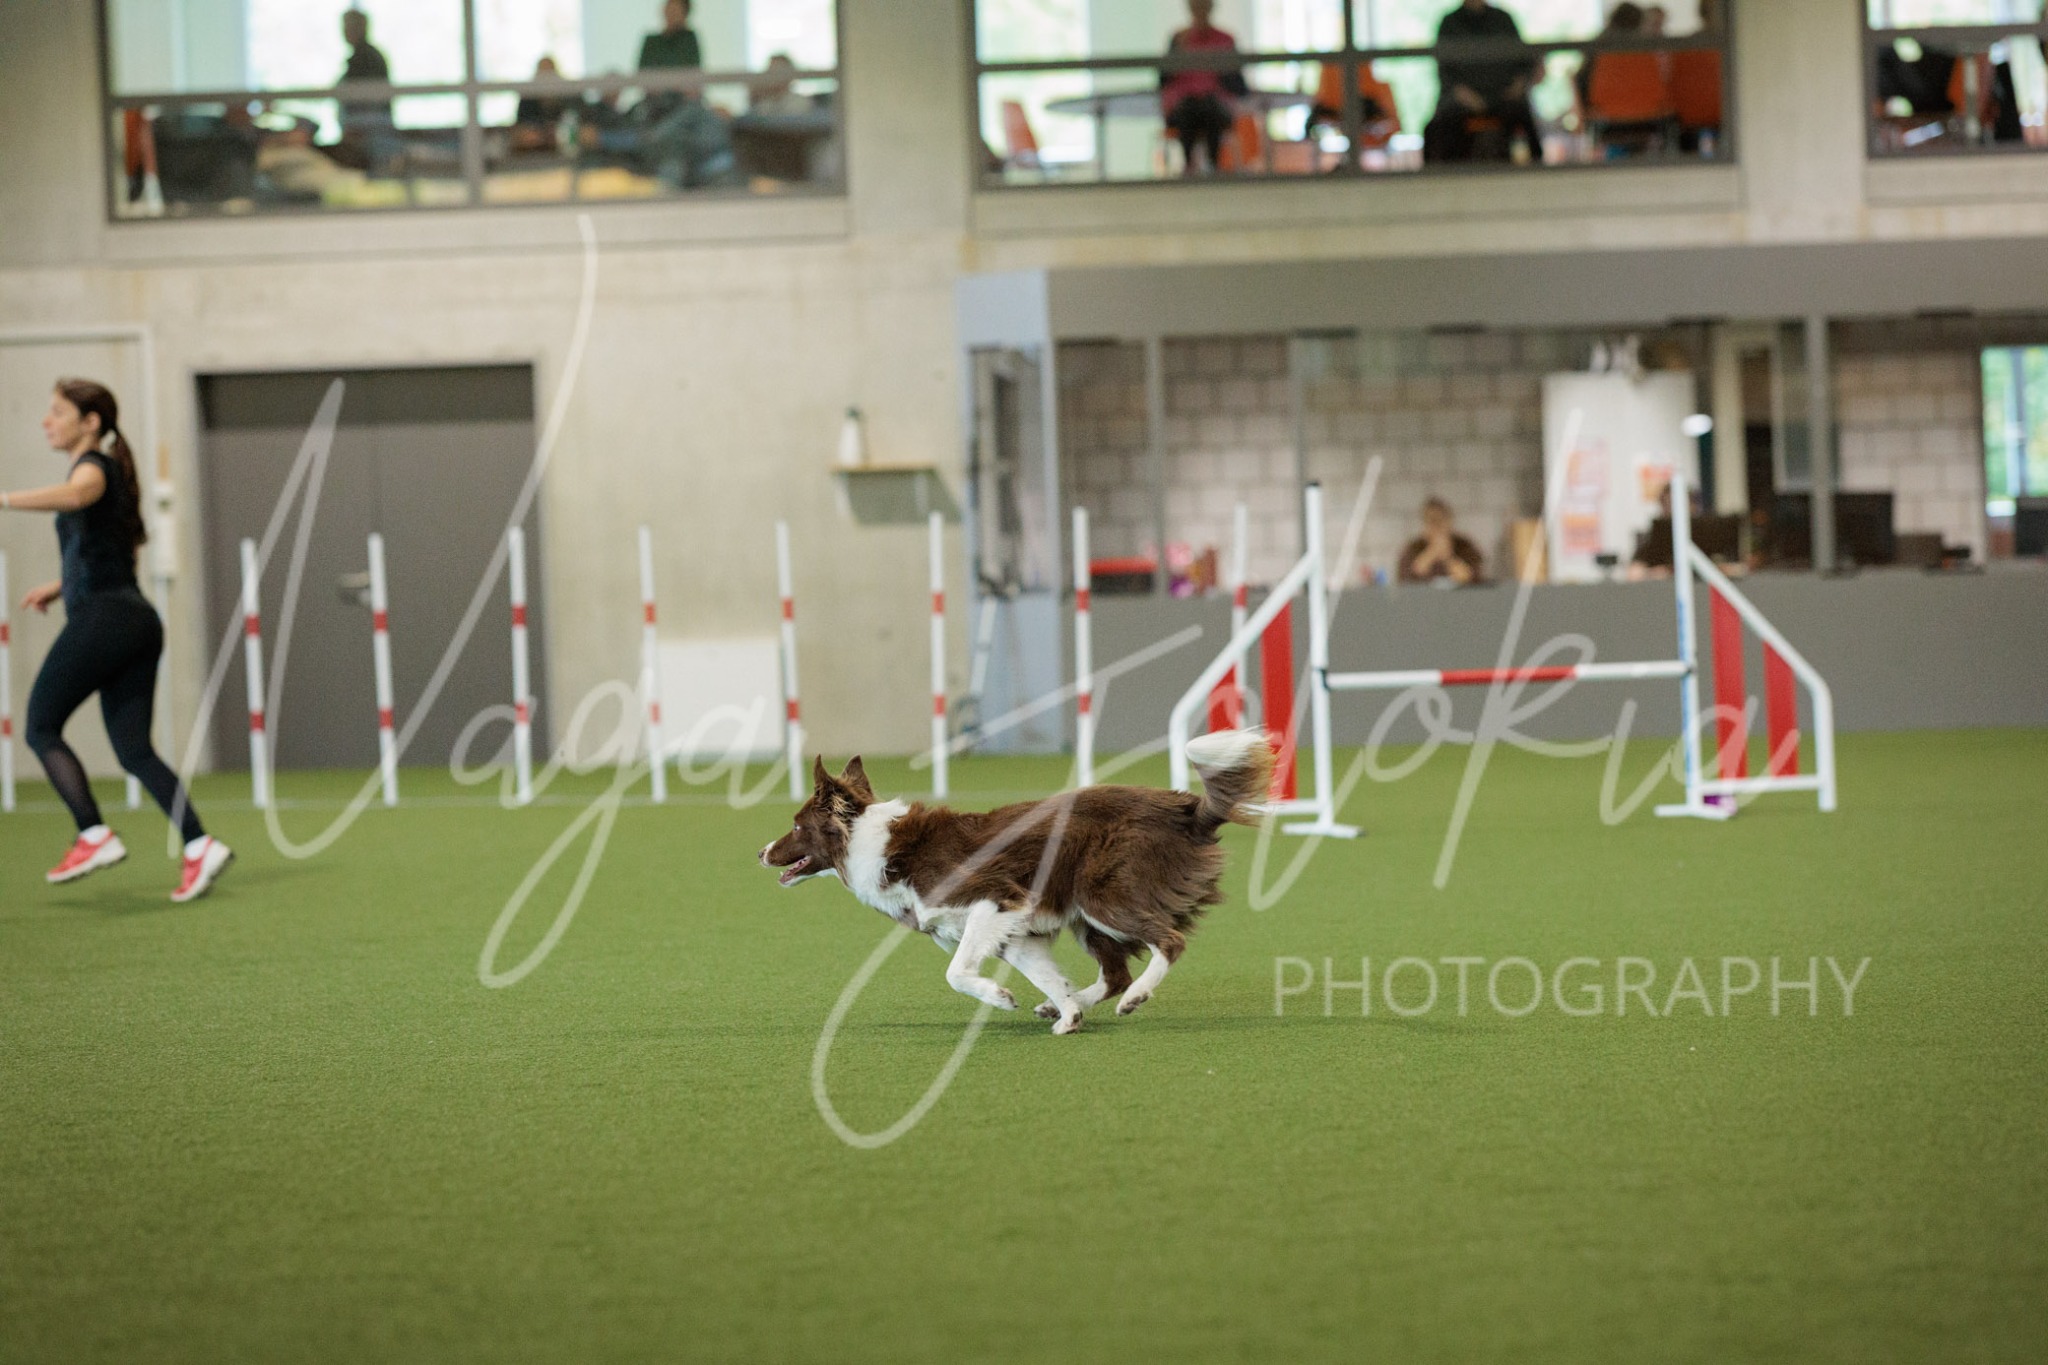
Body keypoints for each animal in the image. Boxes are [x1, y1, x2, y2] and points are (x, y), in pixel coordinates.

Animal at [757, 730, 1274, 1034]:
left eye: (797, 826)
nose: (760, 852)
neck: (874, 841)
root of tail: (1185, 808)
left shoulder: (994, 900)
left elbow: (956, 972)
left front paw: (1001, 998)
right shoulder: (1014, 931)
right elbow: (1046, 975)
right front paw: (1068, 1014)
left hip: (1103, 896)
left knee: (1166, 943)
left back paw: (1137, 997)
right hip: (1086, 917)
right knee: (1114, 973)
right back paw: (1071, 1005)